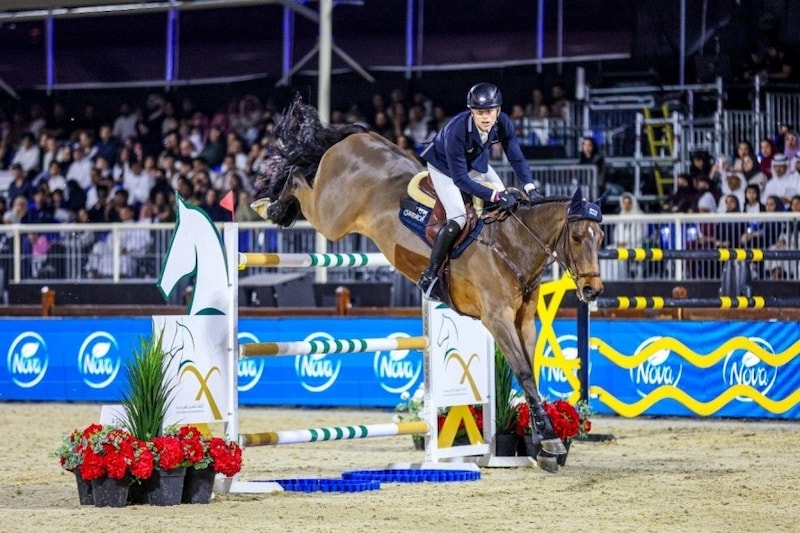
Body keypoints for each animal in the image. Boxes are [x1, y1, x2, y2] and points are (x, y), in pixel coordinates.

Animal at [253, 95, 604, 470]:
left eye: (600, 238)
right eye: (578, 237)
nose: (593, 290)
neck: (511, 243)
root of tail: (355, 138)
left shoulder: (523, 320)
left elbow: (530, 373)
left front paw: (544, 442)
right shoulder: (497, 319)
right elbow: (523, 371)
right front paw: (549, 439)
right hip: (330, 216)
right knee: (296, 178)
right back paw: (272, 207)